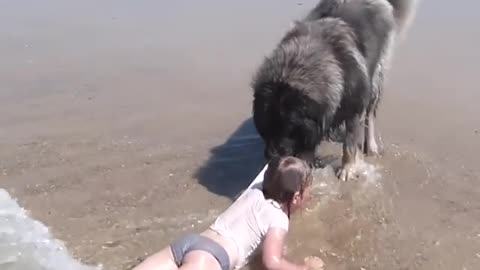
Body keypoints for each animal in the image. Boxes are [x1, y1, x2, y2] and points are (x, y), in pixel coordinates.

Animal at [251, 1, 416, 181]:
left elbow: (349, 144)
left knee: (370, 115)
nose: (271, 156)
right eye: (266, 127)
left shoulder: (353, 108)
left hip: (376, 77)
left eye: (288, 127)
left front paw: (347, 169)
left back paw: (371, 146)